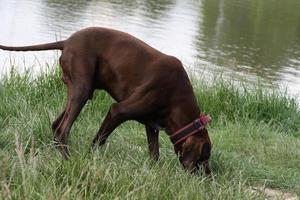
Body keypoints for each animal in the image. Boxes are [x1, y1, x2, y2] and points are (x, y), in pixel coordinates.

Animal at [0, 27, 212, 174]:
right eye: (204, 158)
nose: (209, 178)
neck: (177, 97)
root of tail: (67, 41)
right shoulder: (118, 111)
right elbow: (98, 141)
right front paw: (89, 159)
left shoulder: (151, 126)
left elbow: (154, 154)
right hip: (82, 89)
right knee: (62, 129)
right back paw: (69, 160)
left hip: (79, 91)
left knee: (55, 125)